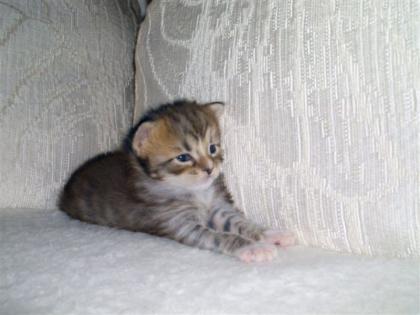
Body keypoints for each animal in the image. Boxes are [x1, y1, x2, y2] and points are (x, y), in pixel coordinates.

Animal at [59, 102, 294, 264]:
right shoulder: (180, 223)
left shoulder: (217, 207)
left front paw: (270, 234)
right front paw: (253, 248)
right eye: (183, 158)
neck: (196, 193)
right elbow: (219, 236)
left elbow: (240, 222)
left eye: (212, 148)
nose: (210, 169)